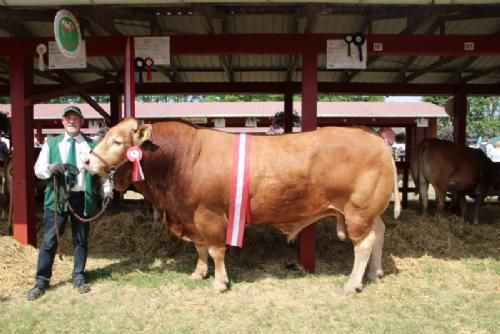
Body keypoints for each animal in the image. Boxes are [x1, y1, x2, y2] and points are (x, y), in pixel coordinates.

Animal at [84, 118, 400, 294]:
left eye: (116, 141)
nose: (86, 162)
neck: (184, 158)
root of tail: (375, 138)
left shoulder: (209, 215)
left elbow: (216, 250)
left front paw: (219, 282)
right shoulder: (191, 216)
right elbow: (200, 249)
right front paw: (199, 273)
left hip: (358, 212)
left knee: (364, 244)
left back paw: (352, 283)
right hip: (369, 212)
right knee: (380, 234)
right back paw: (374, 273)